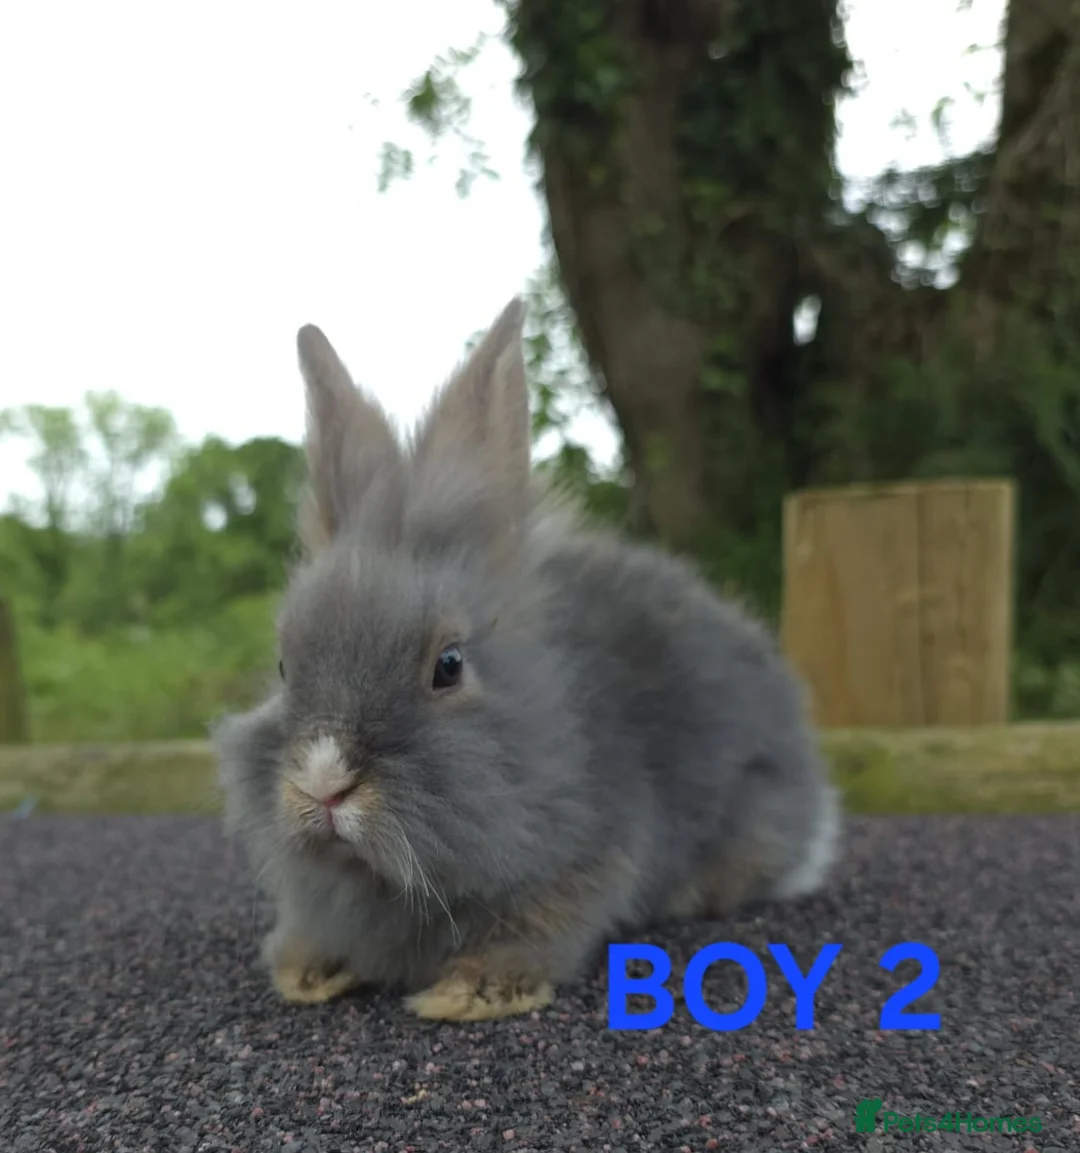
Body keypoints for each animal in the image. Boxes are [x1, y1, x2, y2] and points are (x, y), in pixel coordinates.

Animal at [213, 297, 840, 1022]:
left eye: (449, 664)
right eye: (285, 666)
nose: (323, 784)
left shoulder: (592, 858)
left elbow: (542, 931)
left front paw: (468, 993)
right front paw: (306, 969)